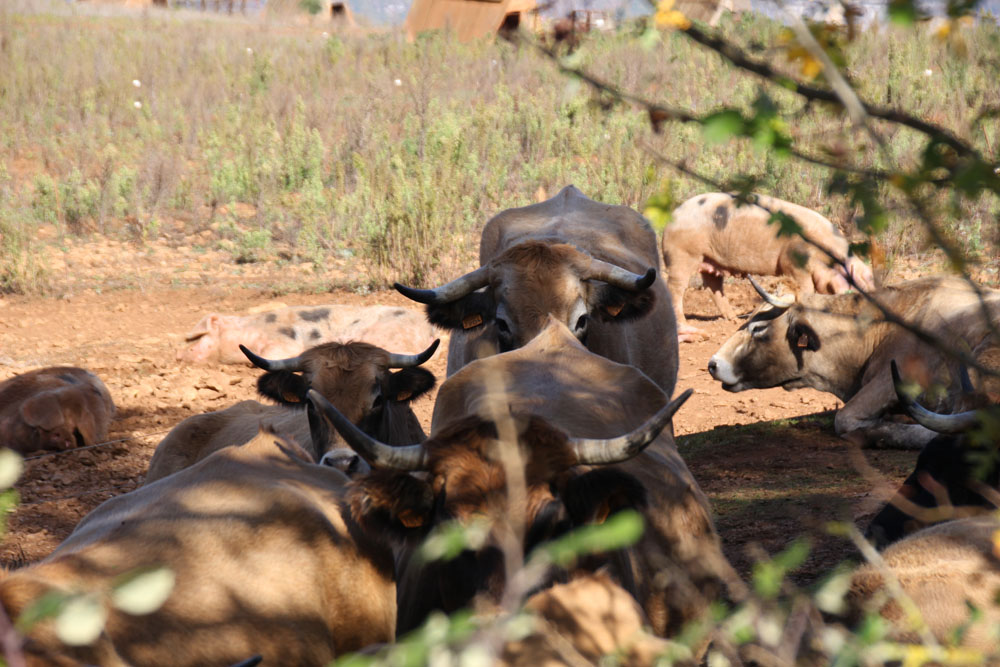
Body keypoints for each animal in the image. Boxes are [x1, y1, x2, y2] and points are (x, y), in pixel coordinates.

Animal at [663, 193, 875, 342]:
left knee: (714, 285)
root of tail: (672, 215)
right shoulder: (793, 264)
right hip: (682, 254)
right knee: (676, 288)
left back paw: (733, 319)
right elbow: (806, 290)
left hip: (711, 260)